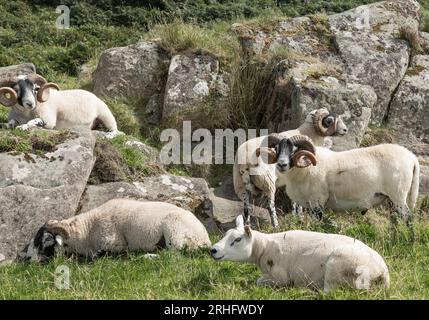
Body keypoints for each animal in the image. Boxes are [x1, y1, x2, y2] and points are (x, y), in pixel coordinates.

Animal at [20, 199, 211, 264]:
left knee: (174, 255)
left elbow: (99, 256)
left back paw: (146, 256)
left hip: (174, 230)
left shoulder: (115, 244)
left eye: (45, 241)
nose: (26, 258)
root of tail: (205, 239)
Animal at [209, 215, 390, 292]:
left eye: (237, 239)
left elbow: (260, 281)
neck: (263, 247)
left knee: (330, 292)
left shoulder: (280, 277)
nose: (213, 250)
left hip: (336, 267)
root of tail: (382, 272)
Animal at [256, 134, 420, 224]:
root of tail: (412, 158)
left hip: (398, 194)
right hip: (390, 198)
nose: (281, 164)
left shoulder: (318, 202)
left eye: (294, 150)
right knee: (396, 219)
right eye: (276, 149)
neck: (305, 169)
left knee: (408, 217)